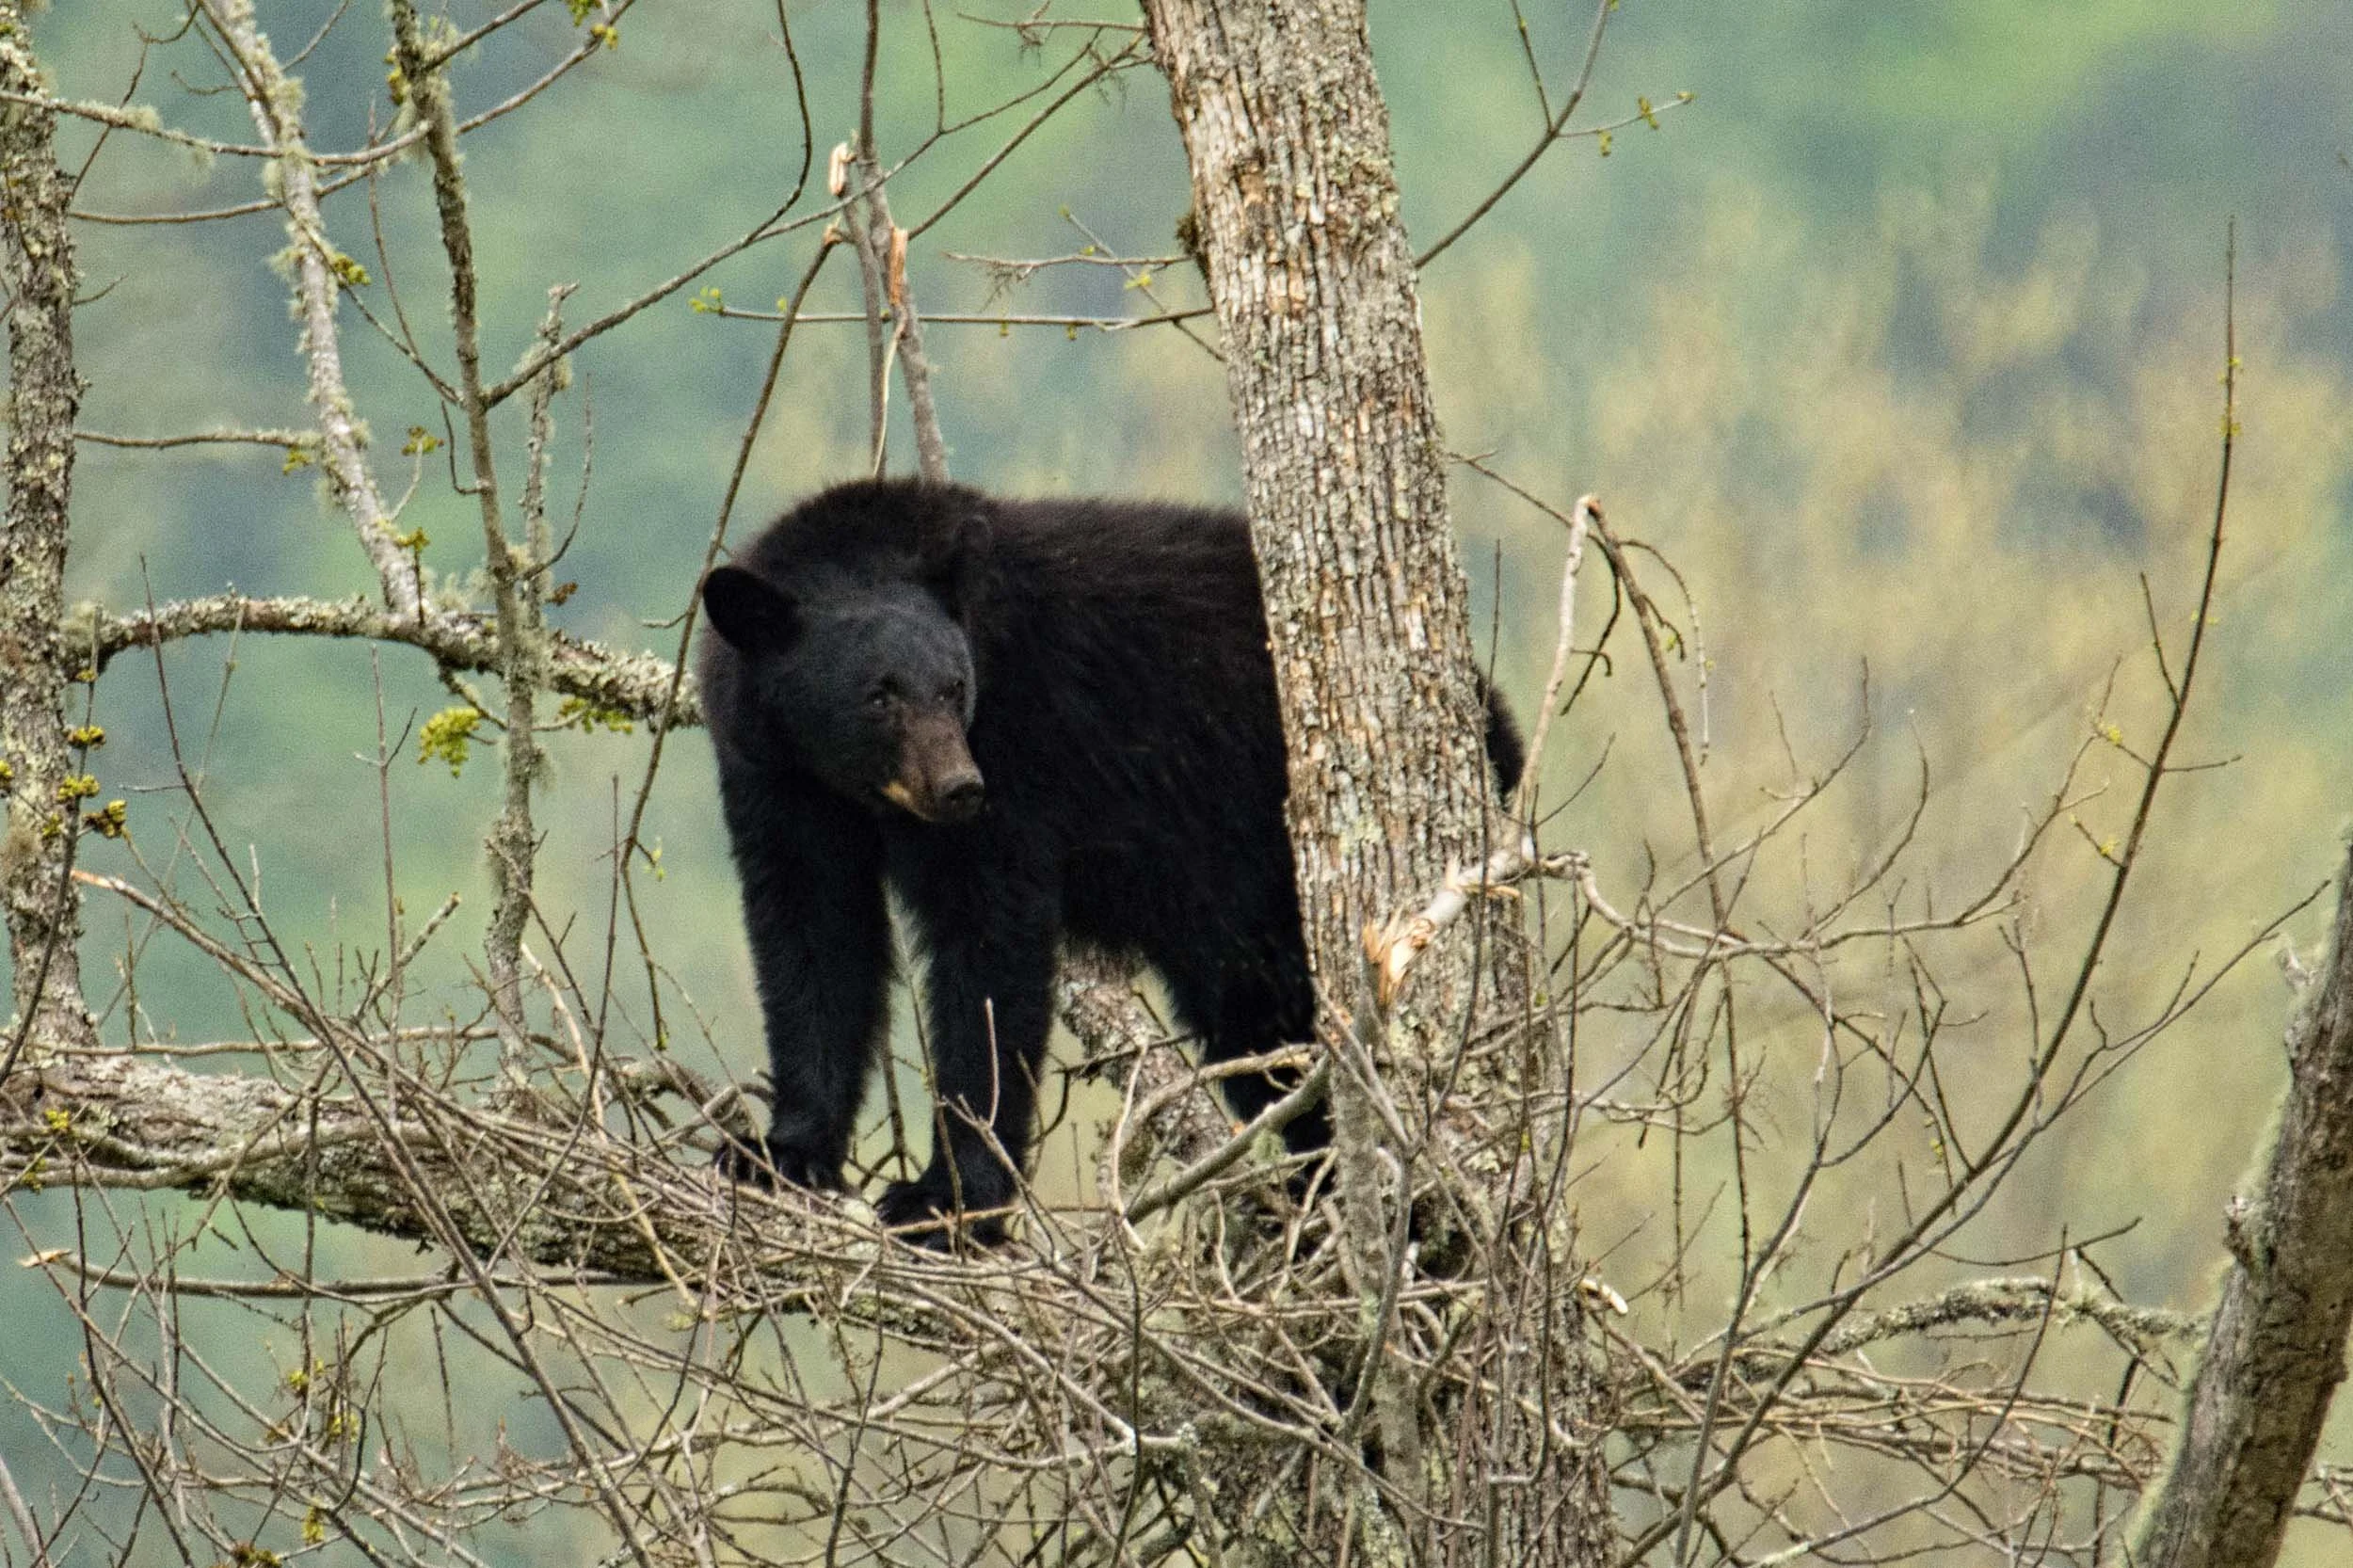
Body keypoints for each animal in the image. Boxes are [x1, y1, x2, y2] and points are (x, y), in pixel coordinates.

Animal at [698, 477, 1522, 1242]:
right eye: (880, 696)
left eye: (955, 686)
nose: (959, 787)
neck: (858, 790)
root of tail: (1492, 711)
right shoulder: (773, 776)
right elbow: (812, 937)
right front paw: (781, 1151)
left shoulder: (1017, 753)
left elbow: (988, 947)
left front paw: (948, 1199)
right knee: (1256, 1023)